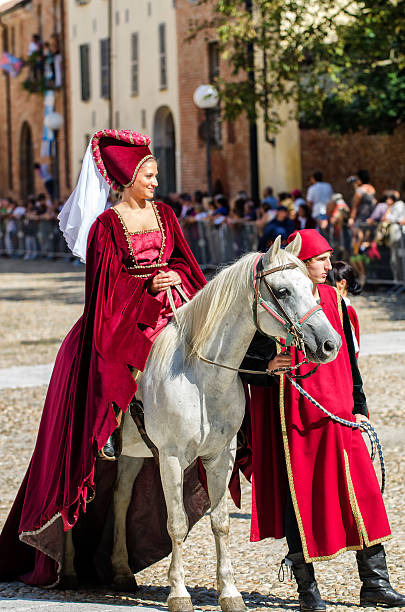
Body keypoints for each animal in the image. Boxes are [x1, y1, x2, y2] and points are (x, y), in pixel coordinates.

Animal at [68, 235, 340, 612]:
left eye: (312, 288)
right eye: (283, 291)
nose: (330, 345)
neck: (201, 375)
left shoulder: (220, 457)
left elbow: (220, 522)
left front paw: (230, 592)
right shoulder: (170, 458)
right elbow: (177, 524)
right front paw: (179, 593)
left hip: (133, 454)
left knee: (121, 497)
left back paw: (121, 571)